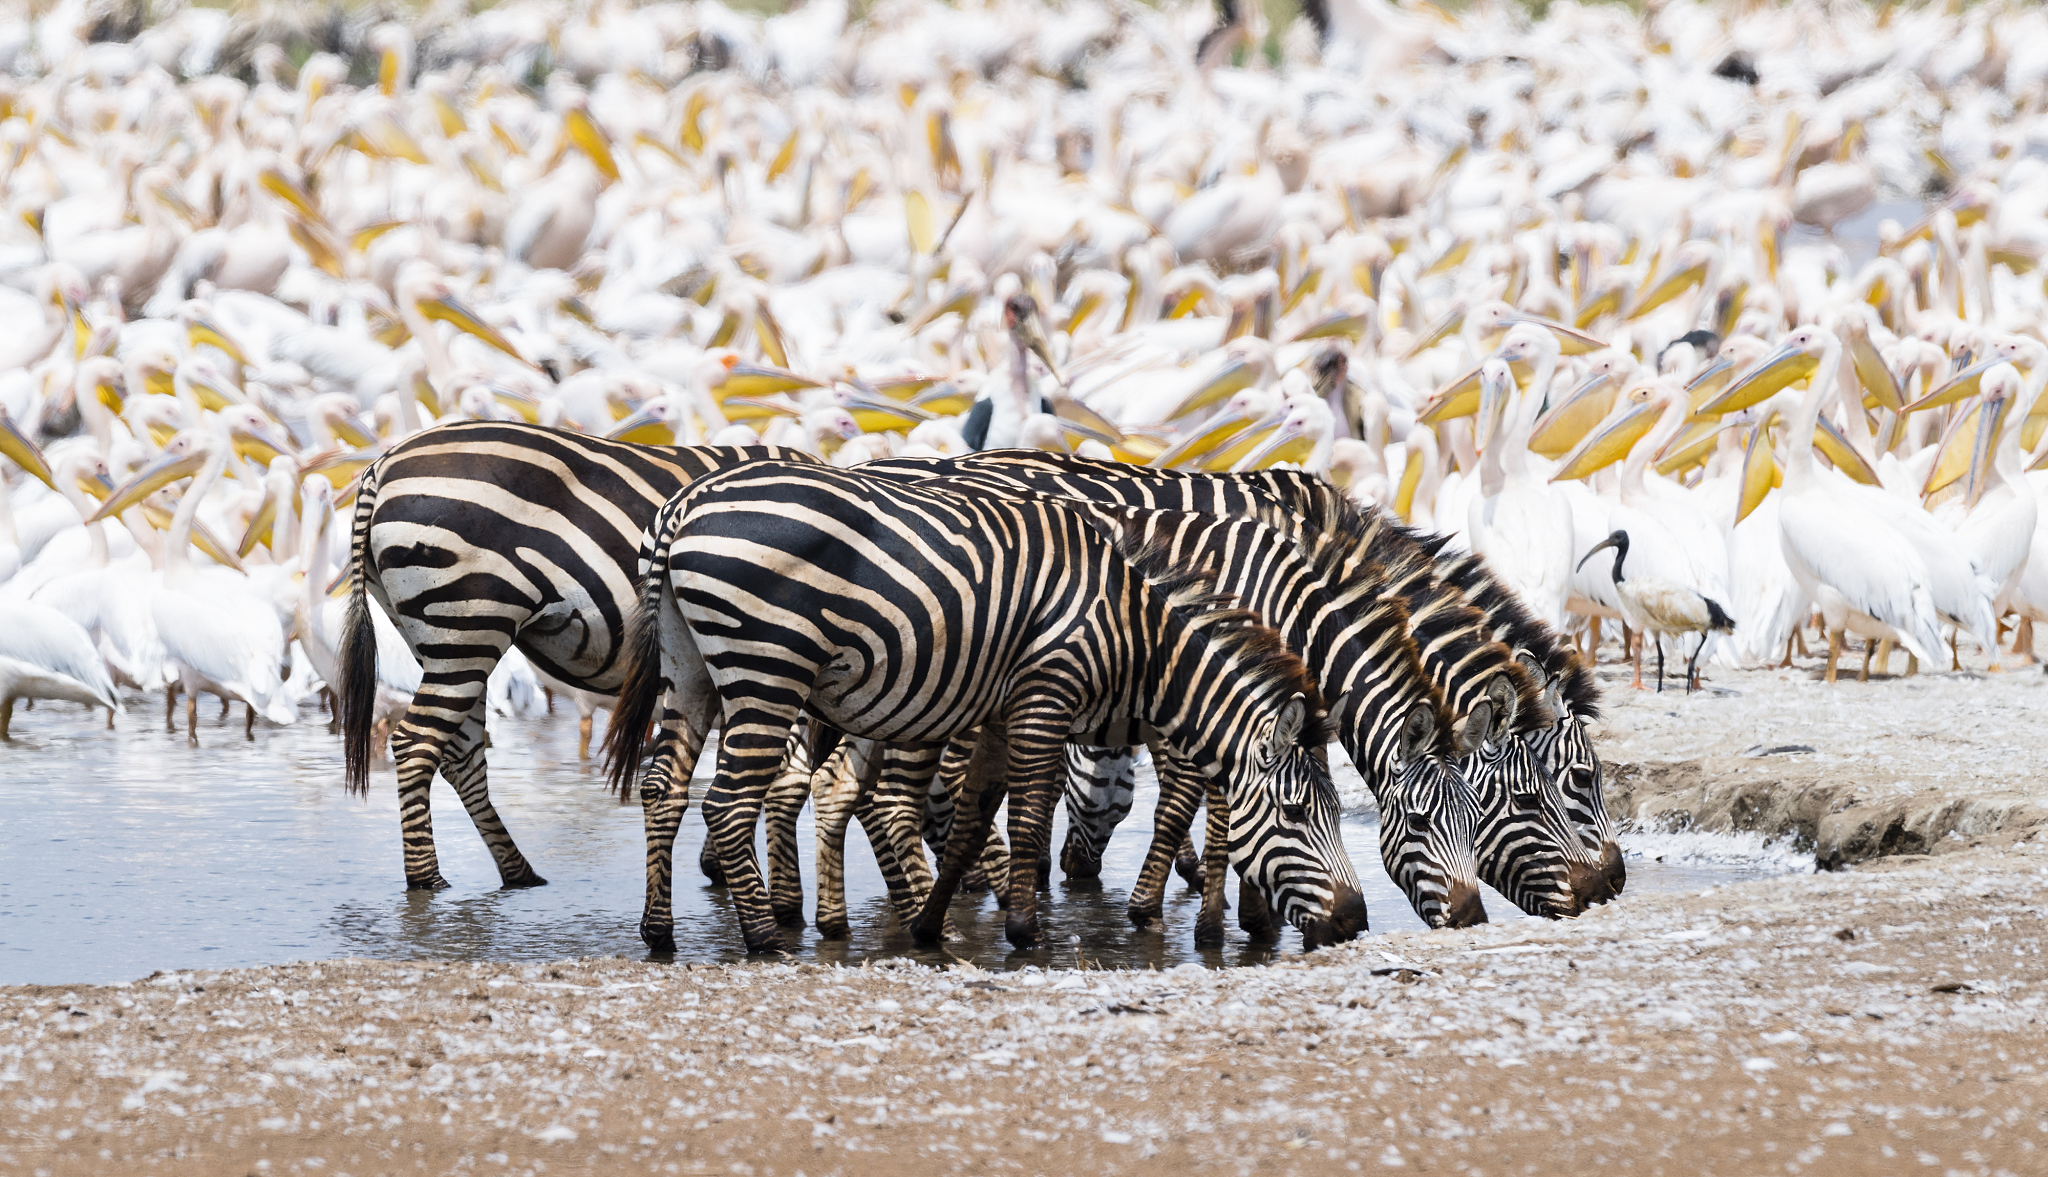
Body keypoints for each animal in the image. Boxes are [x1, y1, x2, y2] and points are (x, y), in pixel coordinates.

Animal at [336, 420, 813, 892]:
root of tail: (382, 465)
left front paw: (717, 864)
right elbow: (783, 778)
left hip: (440, 641)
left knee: (459, 753)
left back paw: (517, 872)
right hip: (469, 625)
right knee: (417, 742)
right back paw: (427, 878)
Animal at [603, 460, 1368, 953]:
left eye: (1339, 814)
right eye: (1296, 815)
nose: (1356, 921)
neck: (1136, 634)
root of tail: (684, 504)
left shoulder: (1003, 712)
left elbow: (973, 824)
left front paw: (929, 925)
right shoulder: (1046, 696)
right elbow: (1028, 821)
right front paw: (1026, 932)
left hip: (688, 667)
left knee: (664, 786)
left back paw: (659, 931)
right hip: (767, 667)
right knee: (727, 804)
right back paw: (764, 938)